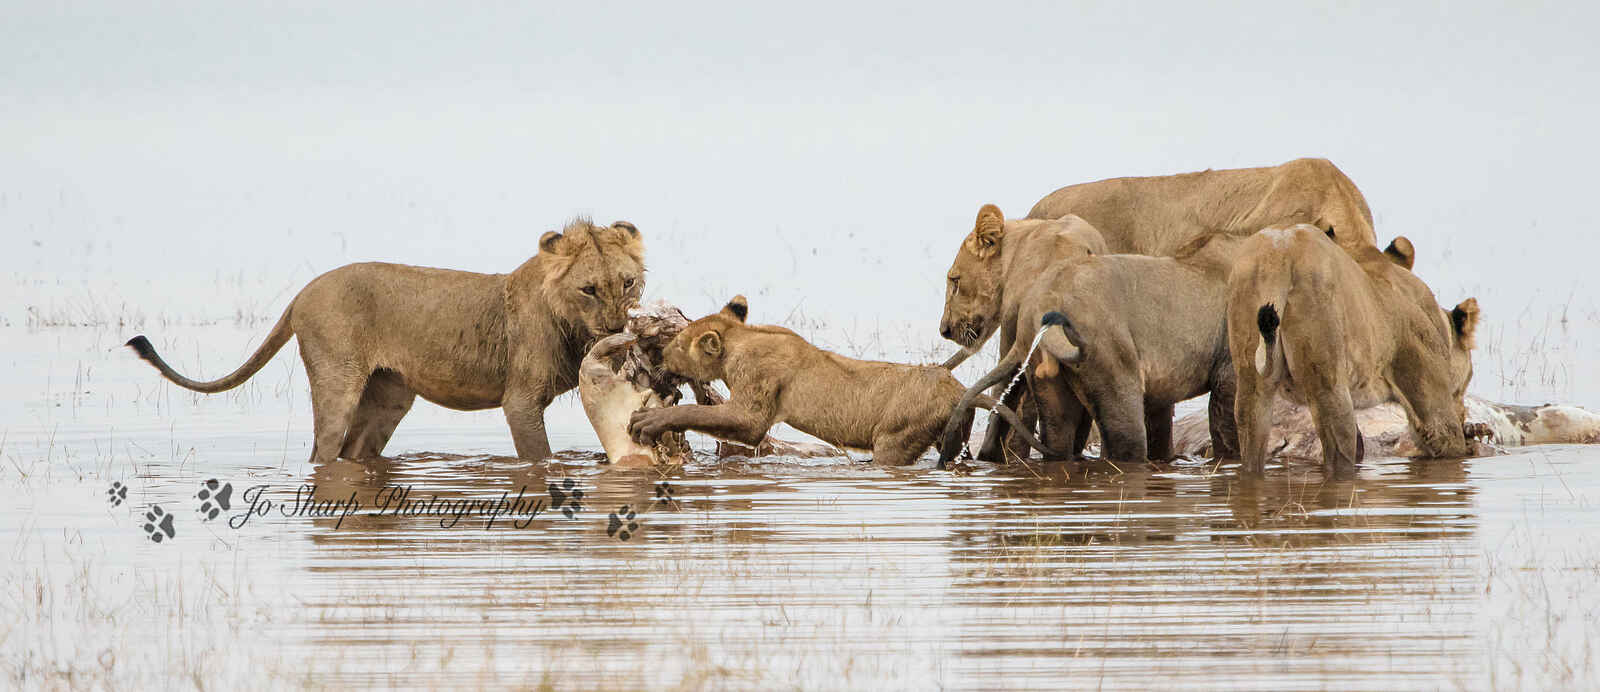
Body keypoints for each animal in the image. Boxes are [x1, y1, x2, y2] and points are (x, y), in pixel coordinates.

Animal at [126, 219, 645, 464]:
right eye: (588, 289)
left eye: (628, 283)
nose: (616, 327)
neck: (573, 324)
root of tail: (301, 293)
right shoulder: (519, 400)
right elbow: (538, 454)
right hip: (337, 379)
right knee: (324, 448)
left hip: (389, 396)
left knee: (355, 451)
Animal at [627, 296, 1053, 466]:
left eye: (673, 345)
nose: (659, 359)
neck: (741, 339)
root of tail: (960, 389)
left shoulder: (754, 403)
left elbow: (703, 413)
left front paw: (648, 421)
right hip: (954, 435)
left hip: (896, 437)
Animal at [937, 233, 1246, 467]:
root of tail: (1042, 301)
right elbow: (1227, 411)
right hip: (1109, 351)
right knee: (1126, 437)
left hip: (1048, 366)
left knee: (1061, 432)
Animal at [1226, 224, 1479, 476]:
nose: (1464, 414)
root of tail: (1279, 252)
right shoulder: (1431, 402)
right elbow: (1447, 439)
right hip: (1329, 382)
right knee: (1340, 452)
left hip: (1251, 375)